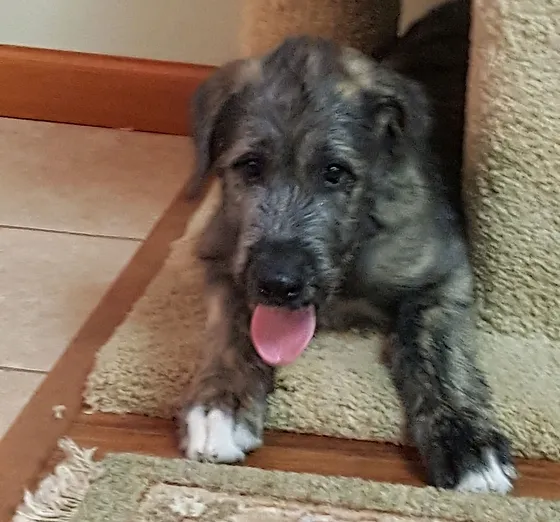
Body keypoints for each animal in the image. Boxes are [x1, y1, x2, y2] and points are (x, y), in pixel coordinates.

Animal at [176, 0, 517, 493]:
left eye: (335, 172)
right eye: (250, 166)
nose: (279, 283)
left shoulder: (443, 274)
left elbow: (435, 350)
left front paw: (465, 440)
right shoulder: (223, 256)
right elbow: (229, 329)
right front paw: (219, 403)